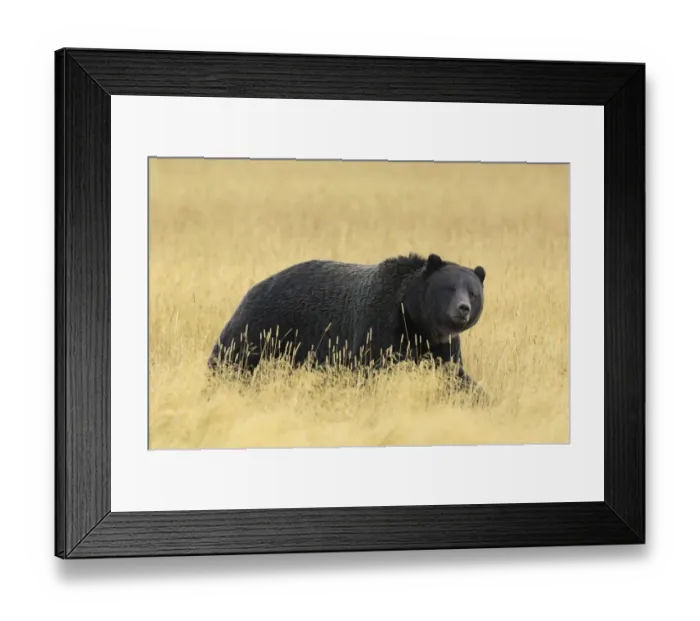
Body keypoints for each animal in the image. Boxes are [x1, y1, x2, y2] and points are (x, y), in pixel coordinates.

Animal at [208, 252, 486, 395]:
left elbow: (454, 374)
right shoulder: (378, 326)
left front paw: (478, 395)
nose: (463, 308)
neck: (413, 317)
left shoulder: (438, 346)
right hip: (264, 324)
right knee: (232, 356)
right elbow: (367, 368)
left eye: (473, 292)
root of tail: (258, 284)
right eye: (449, 288)